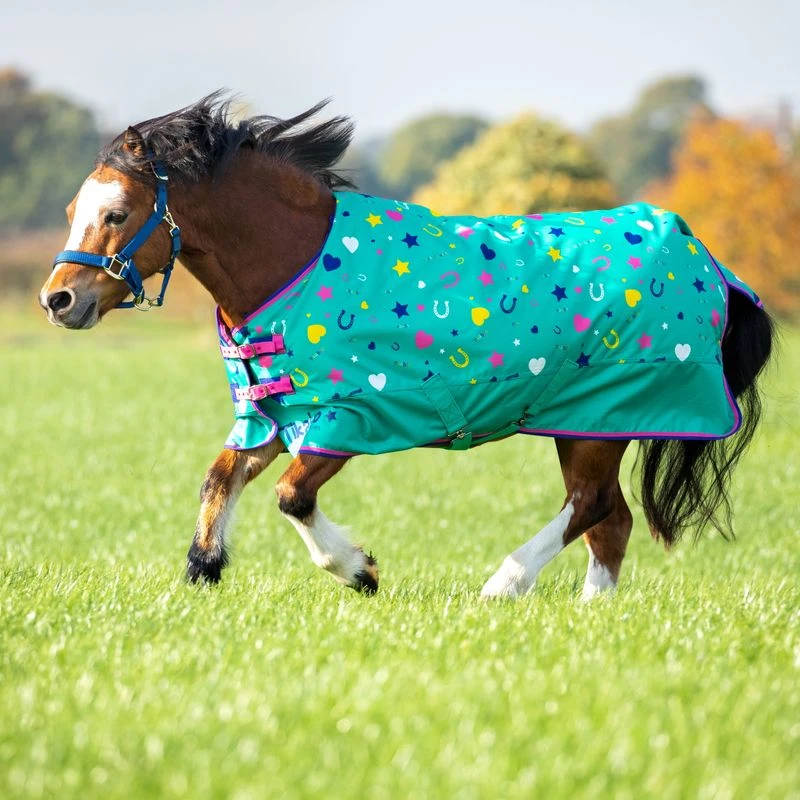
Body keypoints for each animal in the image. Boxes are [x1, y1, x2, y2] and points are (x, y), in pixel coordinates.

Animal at [40, 94, 775, 599]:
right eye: (76, 210)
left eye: (117, 214)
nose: (58, 299)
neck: (294, 264)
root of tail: (713, 265)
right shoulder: (275, 412)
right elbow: (221, 476)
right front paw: (204, 566)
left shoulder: (350, 417)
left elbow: (291, 496)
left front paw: (359, 570)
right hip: (588, 422)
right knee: (610, 520)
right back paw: (592, 613)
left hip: (601, 415)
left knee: (592, 507)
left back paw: (504, 584)